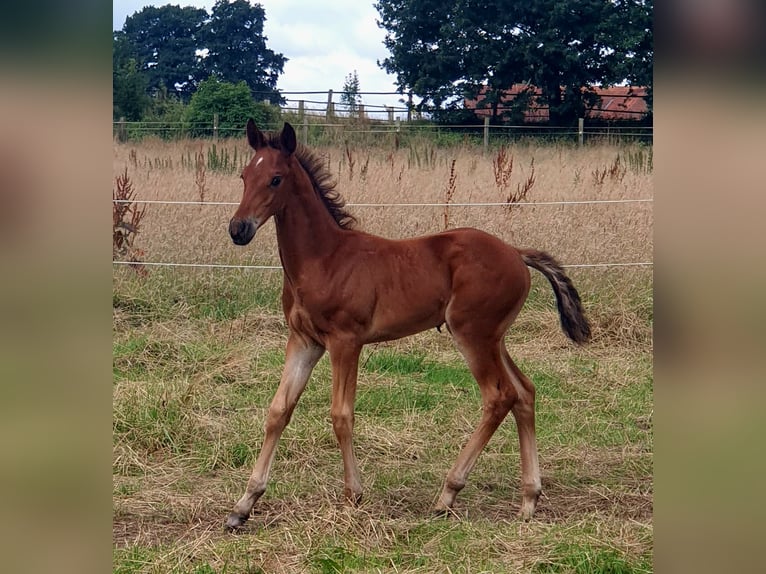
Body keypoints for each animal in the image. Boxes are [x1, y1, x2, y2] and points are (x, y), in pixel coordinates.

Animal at [225, 120, 592, 532]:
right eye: (244, 176)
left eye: (275, 179)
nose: (238, 229)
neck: (323, 259)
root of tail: (516, 253)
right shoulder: (304, 341)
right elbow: (278, 411)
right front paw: (243, 505)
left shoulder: (345, 341)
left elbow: (341, 415)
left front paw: (353, 497)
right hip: (494, 337)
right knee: (525, 392)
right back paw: (529, 500)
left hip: (472, 335)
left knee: (500, 396)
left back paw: (448, 494)